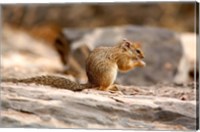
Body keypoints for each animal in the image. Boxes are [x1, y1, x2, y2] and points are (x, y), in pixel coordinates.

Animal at [2, 38, 146, 91]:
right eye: (138, 51)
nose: (143, 56)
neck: (121, 49)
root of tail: (91, 82)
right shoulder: (121, 59)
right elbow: (125, 67)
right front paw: (140, 63)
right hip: (110, 74)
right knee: (101, 88)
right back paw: (111, 87)